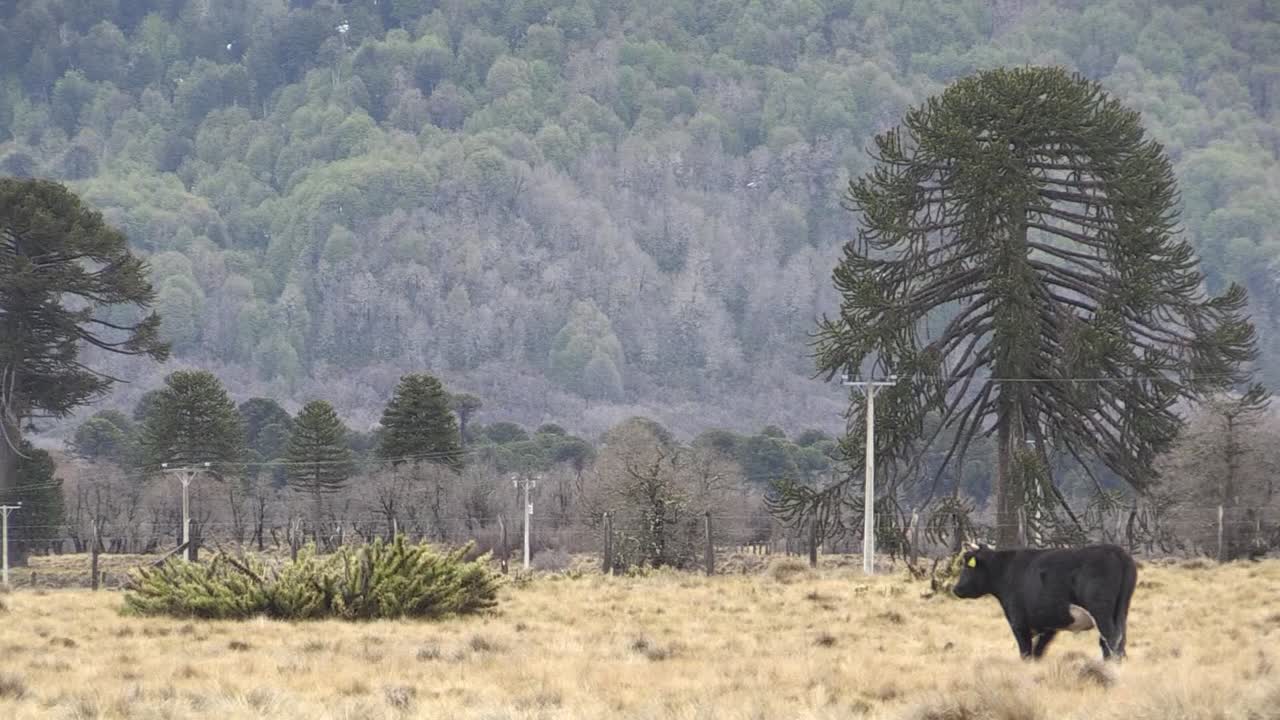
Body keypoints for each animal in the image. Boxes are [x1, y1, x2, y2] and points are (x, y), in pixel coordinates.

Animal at [951, 542, 1137, 661]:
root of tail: (1117, 552)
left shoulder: (1018, 622)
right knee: (1118, 639)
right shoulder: (1048, 626)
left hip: (1101, 611)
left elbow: (1026, 653)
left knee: (1111, 638)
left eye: (967, 565)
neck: (1007, 570)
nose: (956, 589)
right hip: (1121, 611)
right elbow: (1038, 652)